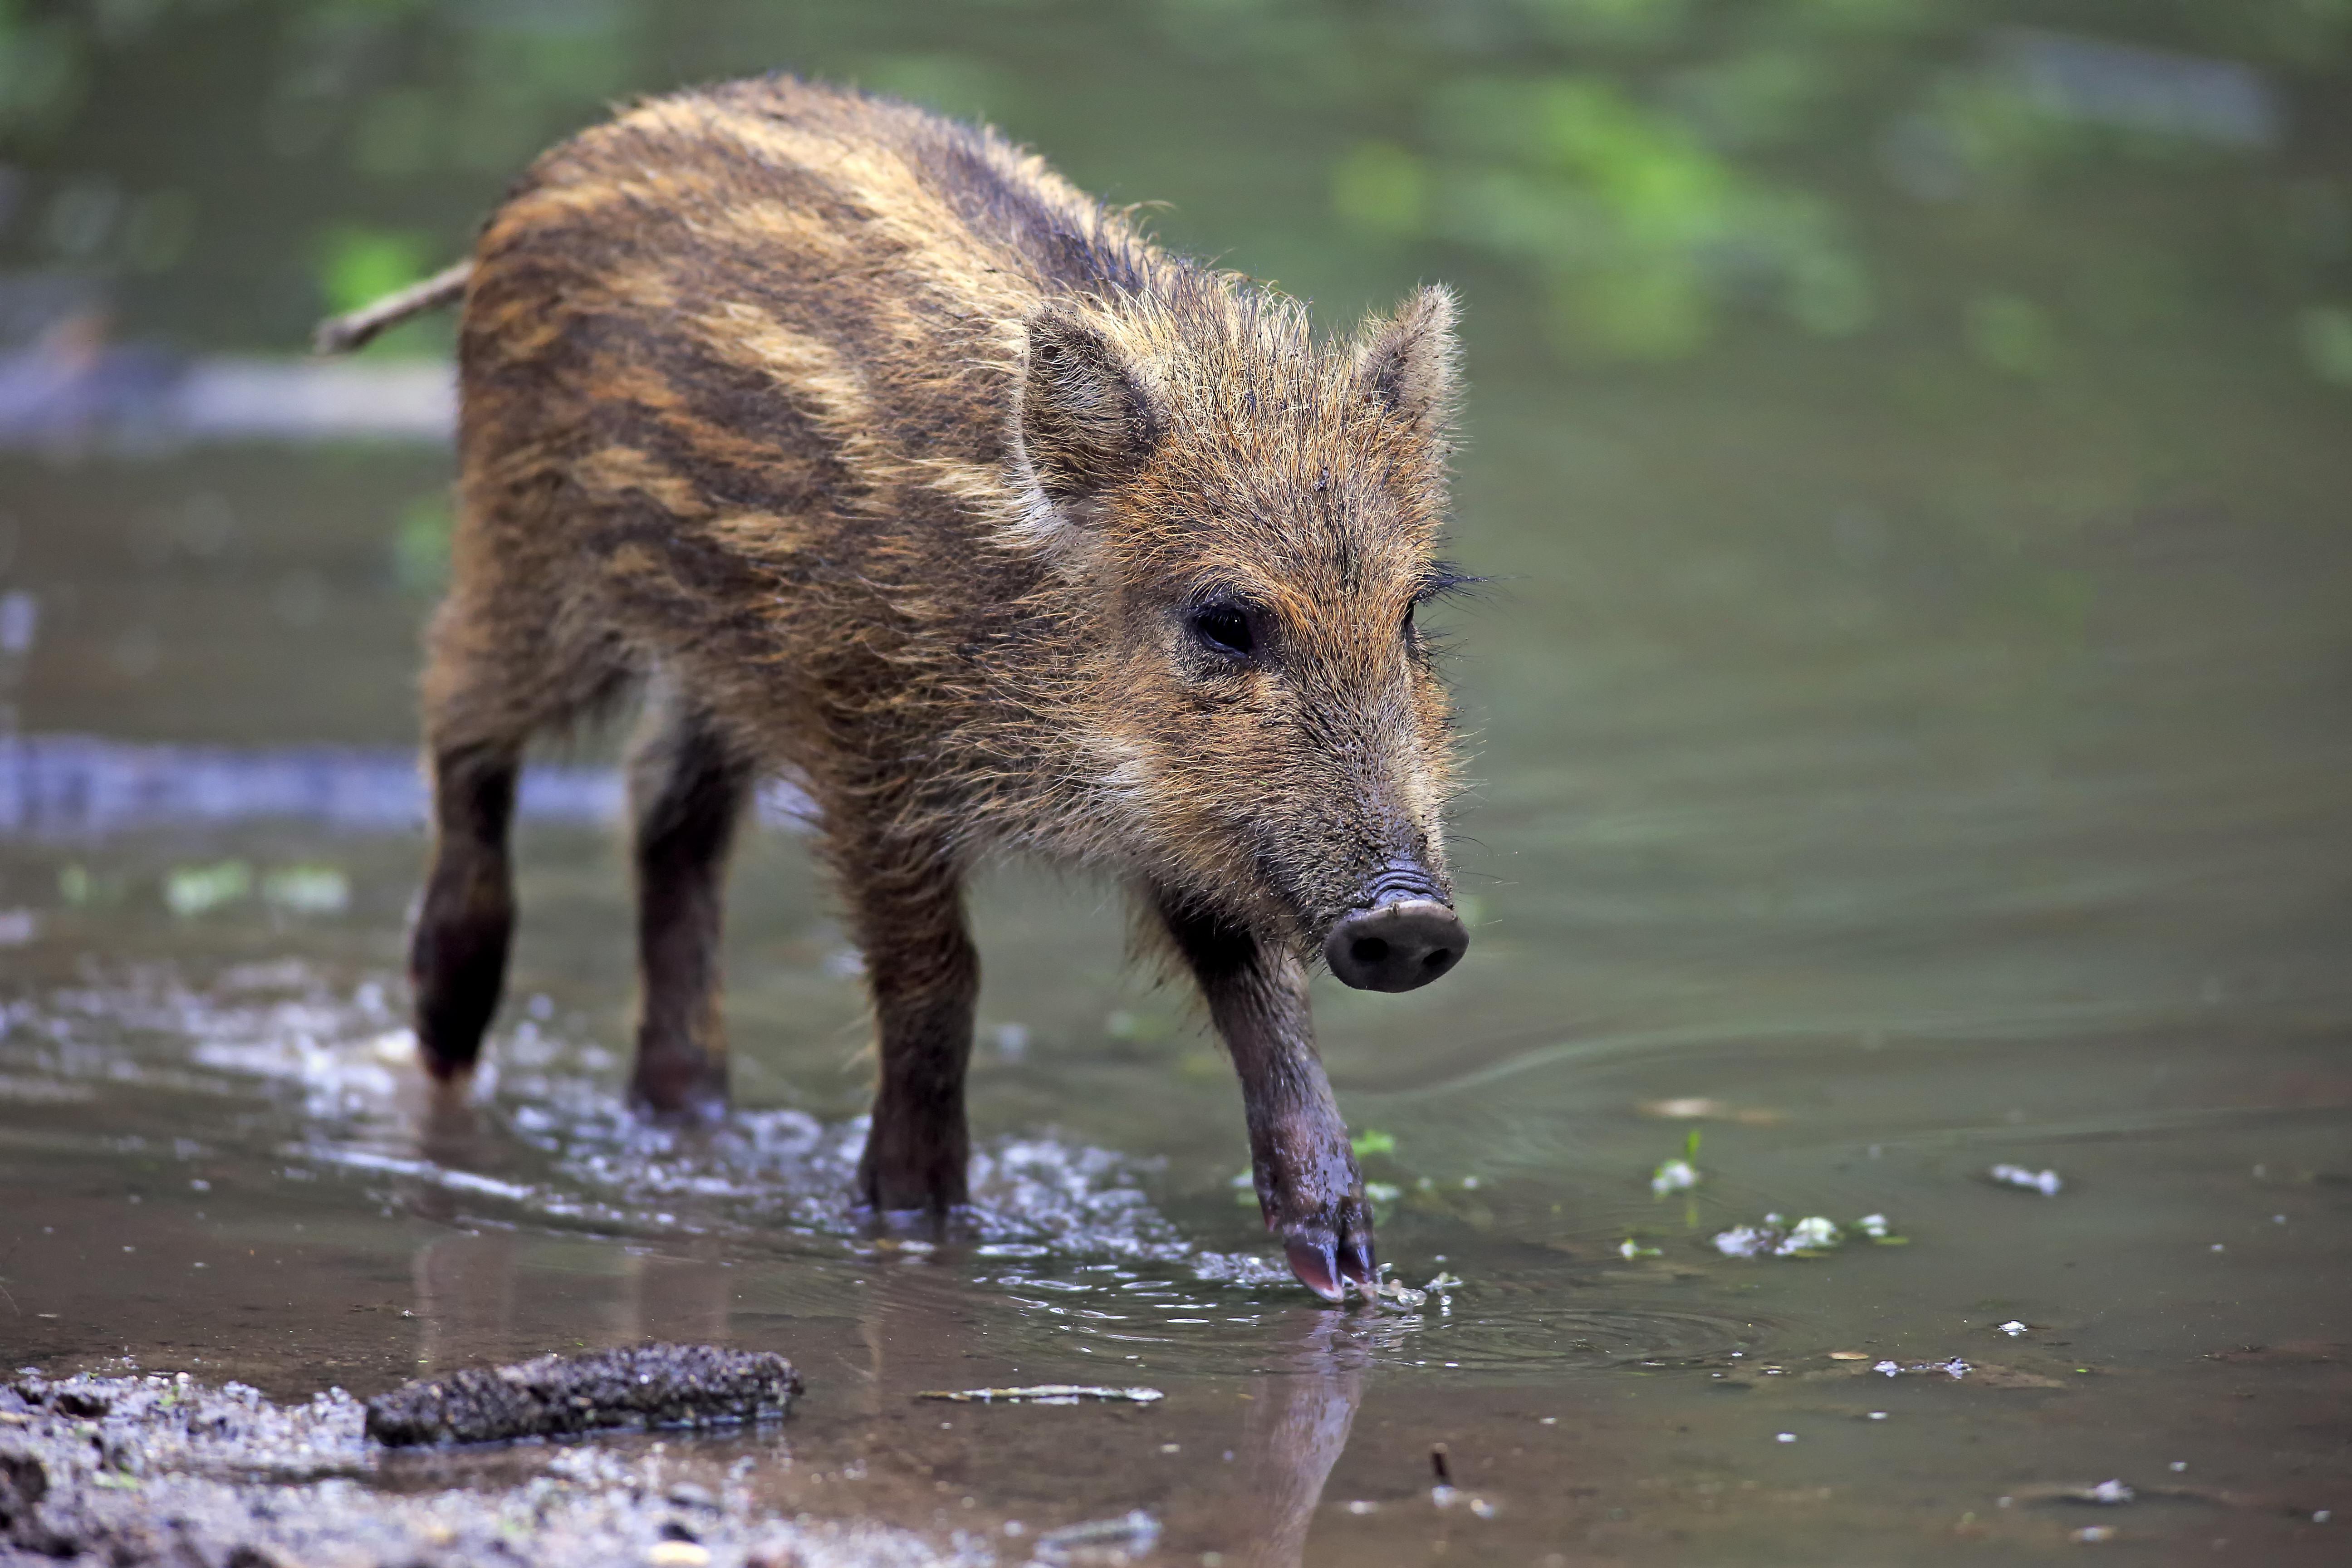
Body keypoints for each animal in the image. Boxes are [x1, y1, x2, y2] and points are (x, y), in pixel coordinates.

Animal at [320, 75, 1473, 1300]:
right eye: (1223, 620)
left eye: (1409, 615)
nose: (1410, 918)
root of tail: (568, 159)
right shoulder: (865, 752)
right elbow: (938, 981)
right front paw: (914, 1218)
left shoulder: (1195, 826)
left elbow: (1267, 1004)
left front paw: (1348, 1266)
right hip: (527, 557)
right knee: (460, 716)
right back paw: (447, 1029)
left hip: (716, 665)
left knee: (666, 813)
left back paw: (688, 1110)